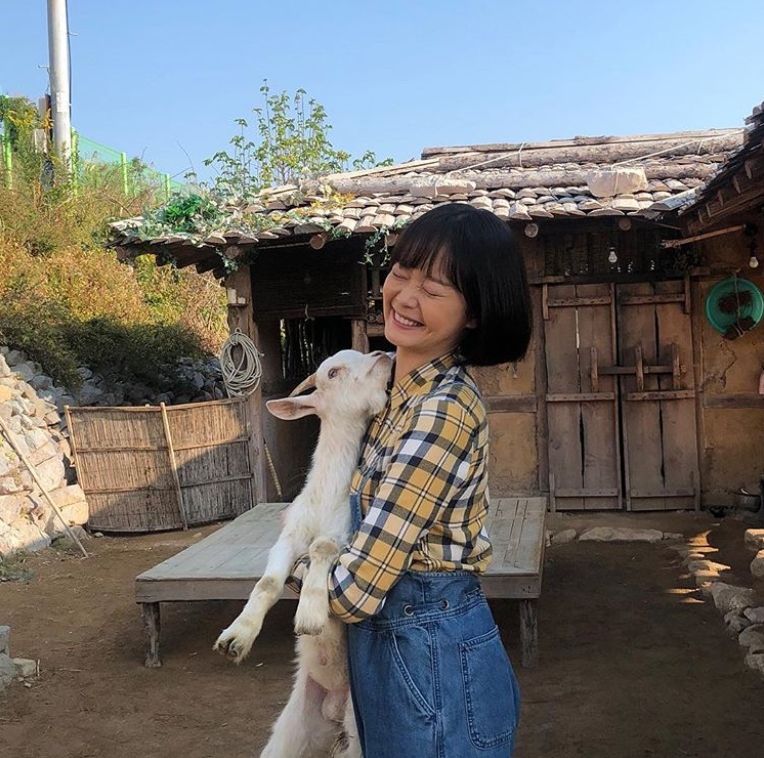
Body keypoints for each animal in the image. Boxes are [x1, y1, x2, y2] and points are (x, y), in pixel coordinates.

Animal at [215, 350, 394, 758]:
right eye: (333, 372)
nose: (382, 355)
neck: (326, 497)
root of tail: (333, 710)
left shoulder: (346, 538)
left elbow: (321, 547)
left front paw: (310, 613)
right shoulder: (289, 535)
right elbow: (267, 582)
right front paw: (237, 637)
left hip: (356, 735)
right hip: (290, 732)